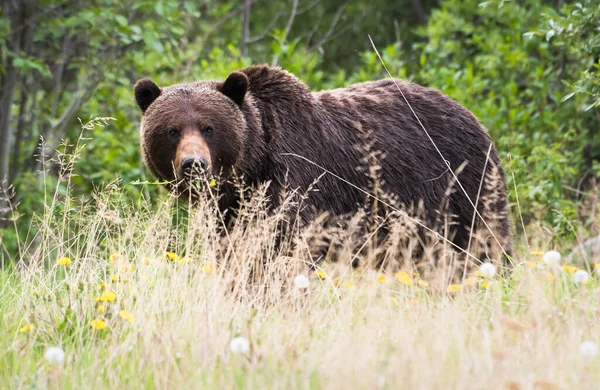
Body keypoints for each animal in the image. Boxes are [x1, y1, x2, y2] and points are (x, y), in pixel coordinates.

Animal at [134, 65, 512, 266]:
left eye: (209, 128)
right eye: (172, 130)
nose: (194, 164)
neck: (255, 161)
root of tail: (472, 116)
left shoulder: (295, 180)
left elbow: (283, 250)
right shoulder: (232, 209)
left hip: (460, 185)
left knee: (483, 241)